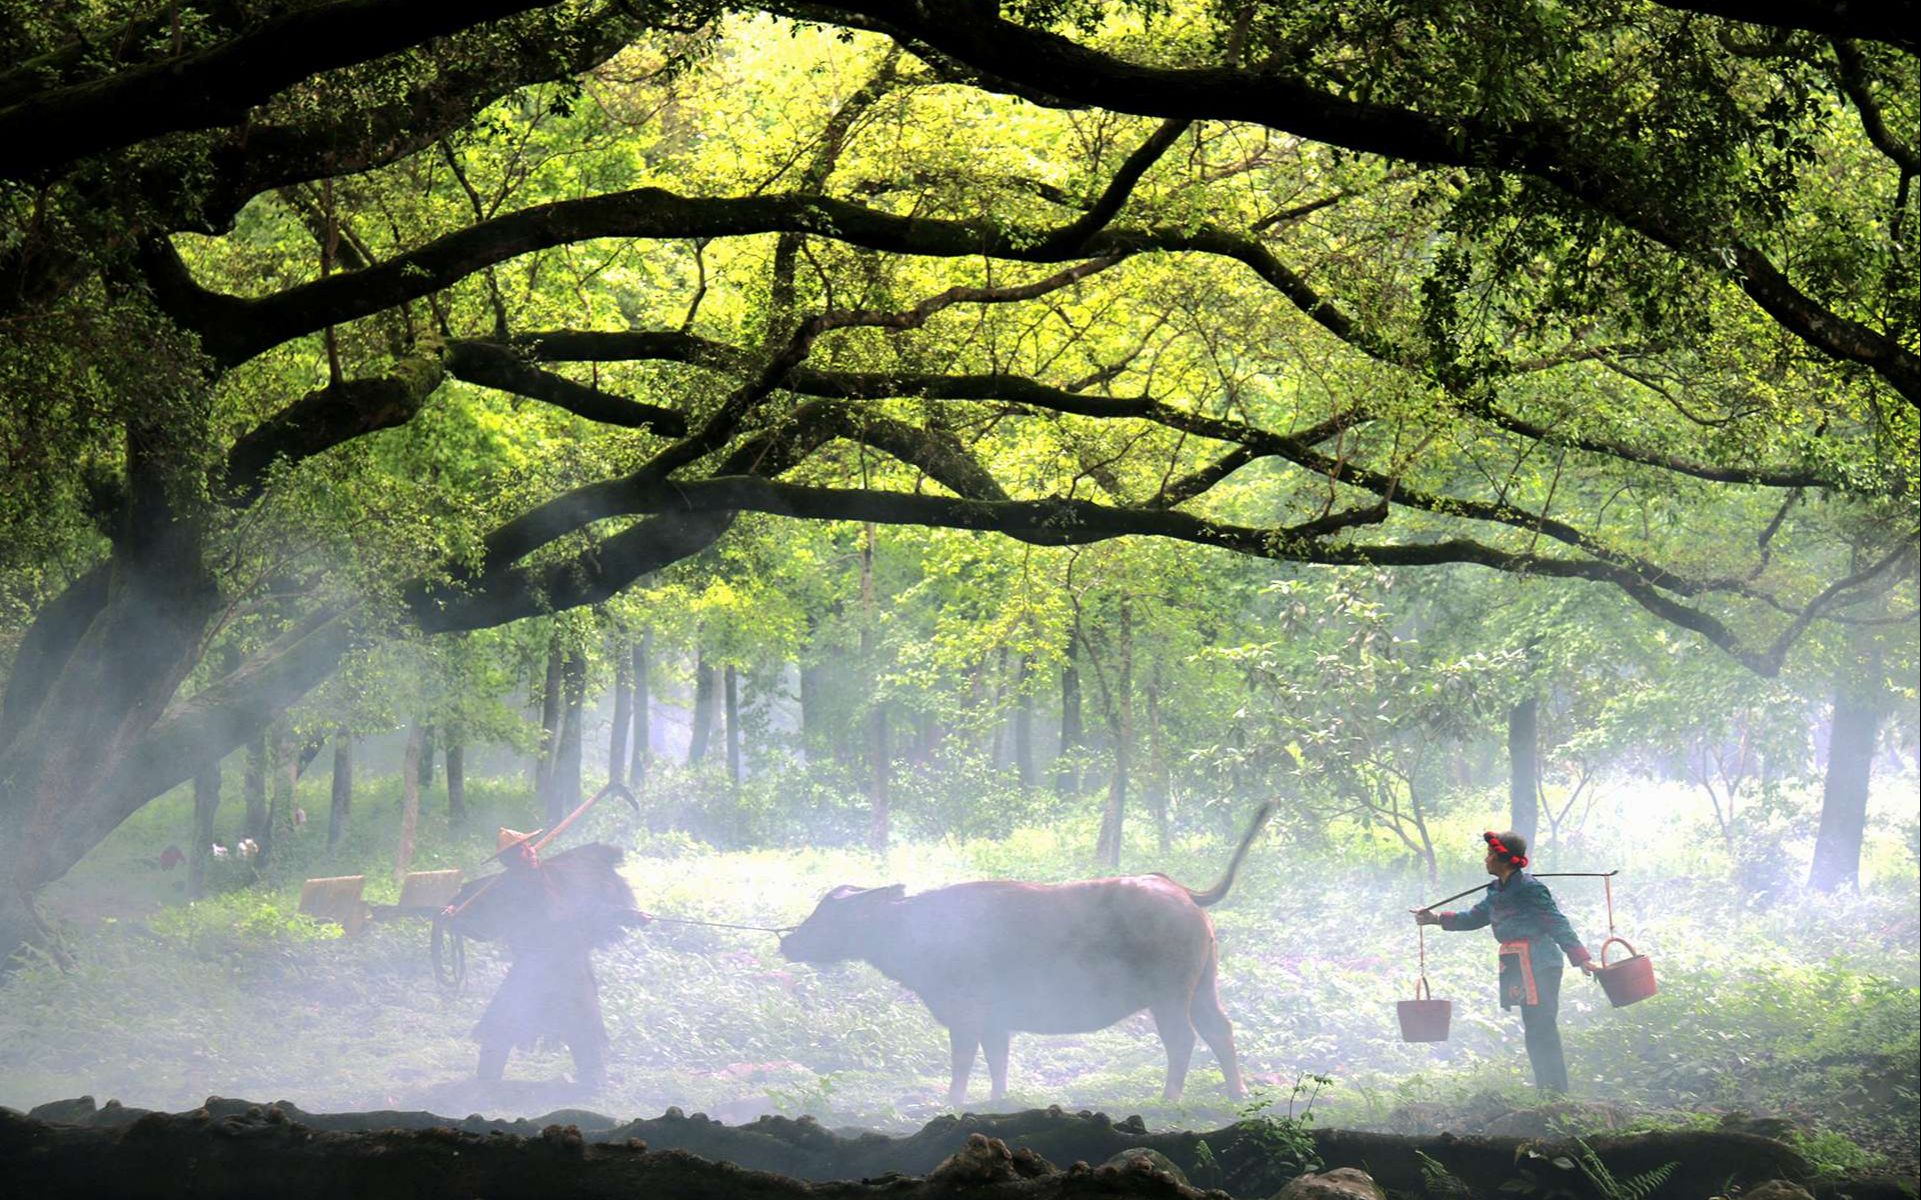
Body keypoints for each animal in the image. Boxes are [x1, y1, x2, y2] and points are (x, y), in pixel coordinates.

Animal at [772, 806, 1267, 1105]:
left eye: (830, 915)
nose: (787, 942)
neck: (919, 932)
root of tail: (1182, 892)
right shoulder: (997, 1020)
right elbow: (998, 1059)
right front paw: (997, 1101)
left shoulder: (966, 1013)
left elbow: (963, 1060)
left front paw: (951, 1104)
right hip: (1203, 987)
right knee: (1220, 1030)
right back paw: (1238, 1095)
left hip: (1169, 995)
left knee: (1183, 1039)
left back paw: (1168, 1099)